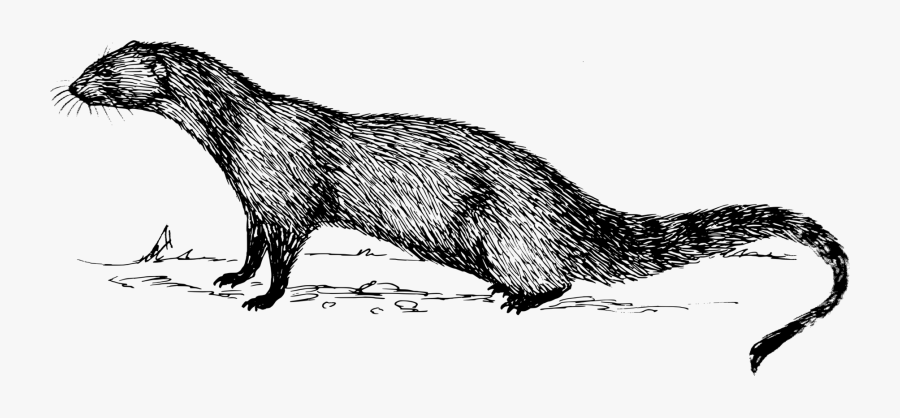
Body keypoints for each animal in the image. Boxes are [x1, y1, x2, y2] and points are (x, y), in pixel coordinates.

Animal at [63, 41, 847, 373]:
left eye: (102, 69)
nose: (69, 84)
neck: (241, 136)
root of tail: (574, 206)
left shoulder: (284, 192)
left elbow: (285, 257)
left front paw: (263, 298)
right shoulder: (254, 201)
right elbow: (254, 245)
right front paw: (232, 276)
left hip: (508, 234)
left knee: (556, 278)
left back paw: (516, 299)